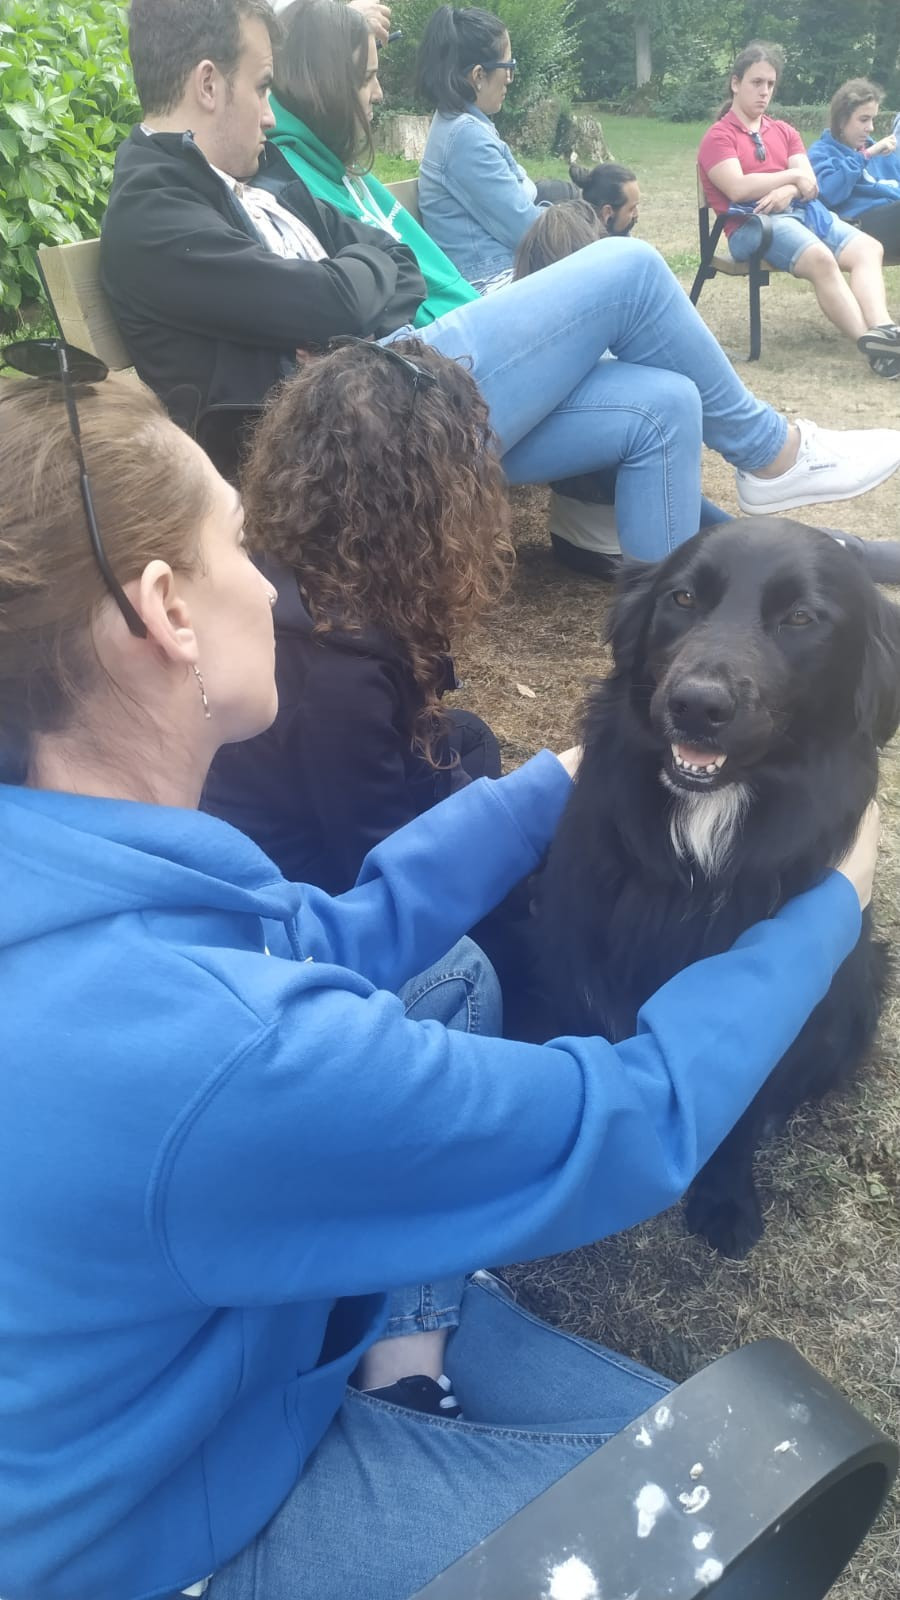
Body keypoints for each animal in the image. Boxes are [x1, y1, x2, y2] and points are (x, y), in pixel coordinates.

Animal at [528, 518, 890, 1254]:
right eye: (684, 598)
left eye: (802, 617)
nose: (696, 704)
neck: (707, 820)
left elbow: (746, 1100)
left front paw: (725, 1196)